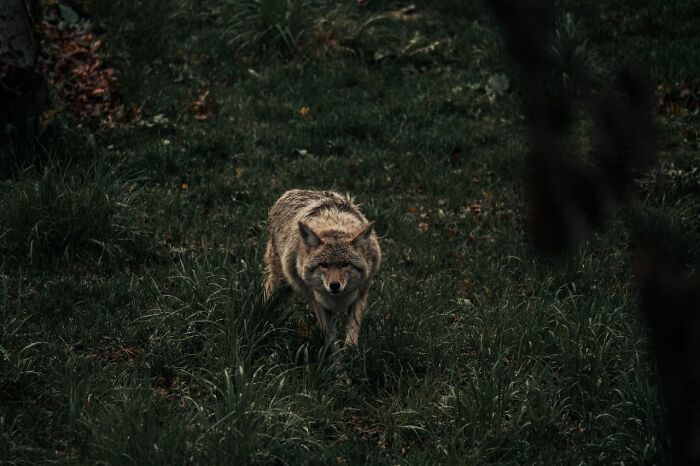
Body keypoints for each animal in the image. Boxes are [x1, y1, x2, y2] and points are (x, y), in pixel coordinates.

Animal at [264, 189, 381, 348]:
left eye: (345, 264)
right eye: (324, 265)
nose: (334, 285)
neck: (335, 224)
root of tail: (289, 192)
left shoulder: (362, 291)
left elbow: (352, 330)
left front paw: (350, 350)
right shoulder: (317, 300)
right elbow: (331, 339)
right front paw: (334, 354)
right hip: (281, 281)